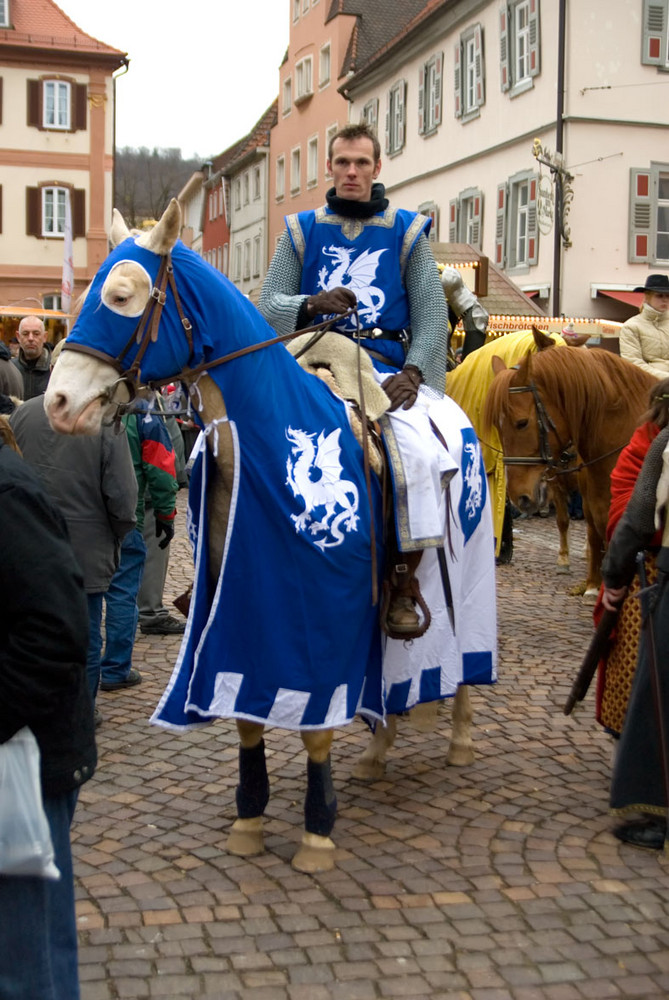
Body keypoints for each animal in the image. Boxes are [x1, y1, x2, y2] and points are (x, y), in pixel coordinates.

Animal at [482, 328, 656, 596]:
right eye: (496, 427)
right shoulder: (570, 488)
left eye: (522, 423)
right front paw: (578, 572)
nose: (518, 497)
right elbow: (570, 523)